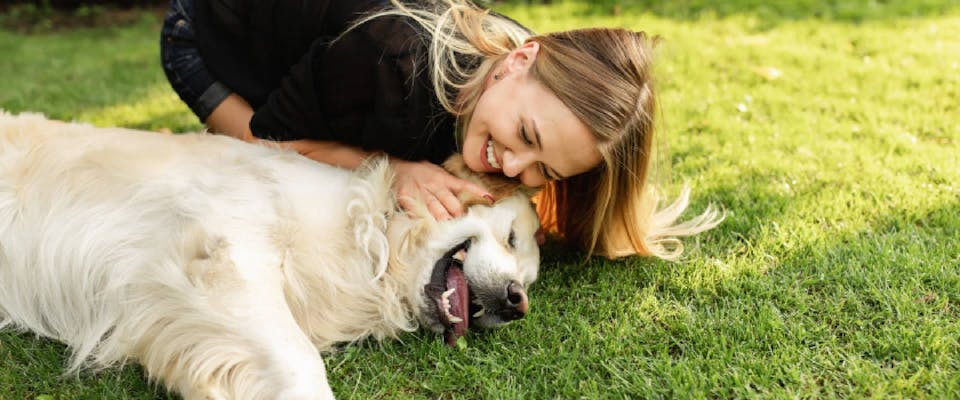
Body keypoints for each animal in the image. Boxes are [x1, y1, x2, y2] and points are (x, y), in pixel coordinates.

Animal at [0, 111, 540, 398]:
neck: (373, 233)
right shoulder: (225, 254)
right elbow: (302, 363)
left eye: (529, 279)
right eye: (513, 237)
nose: (518, 302)